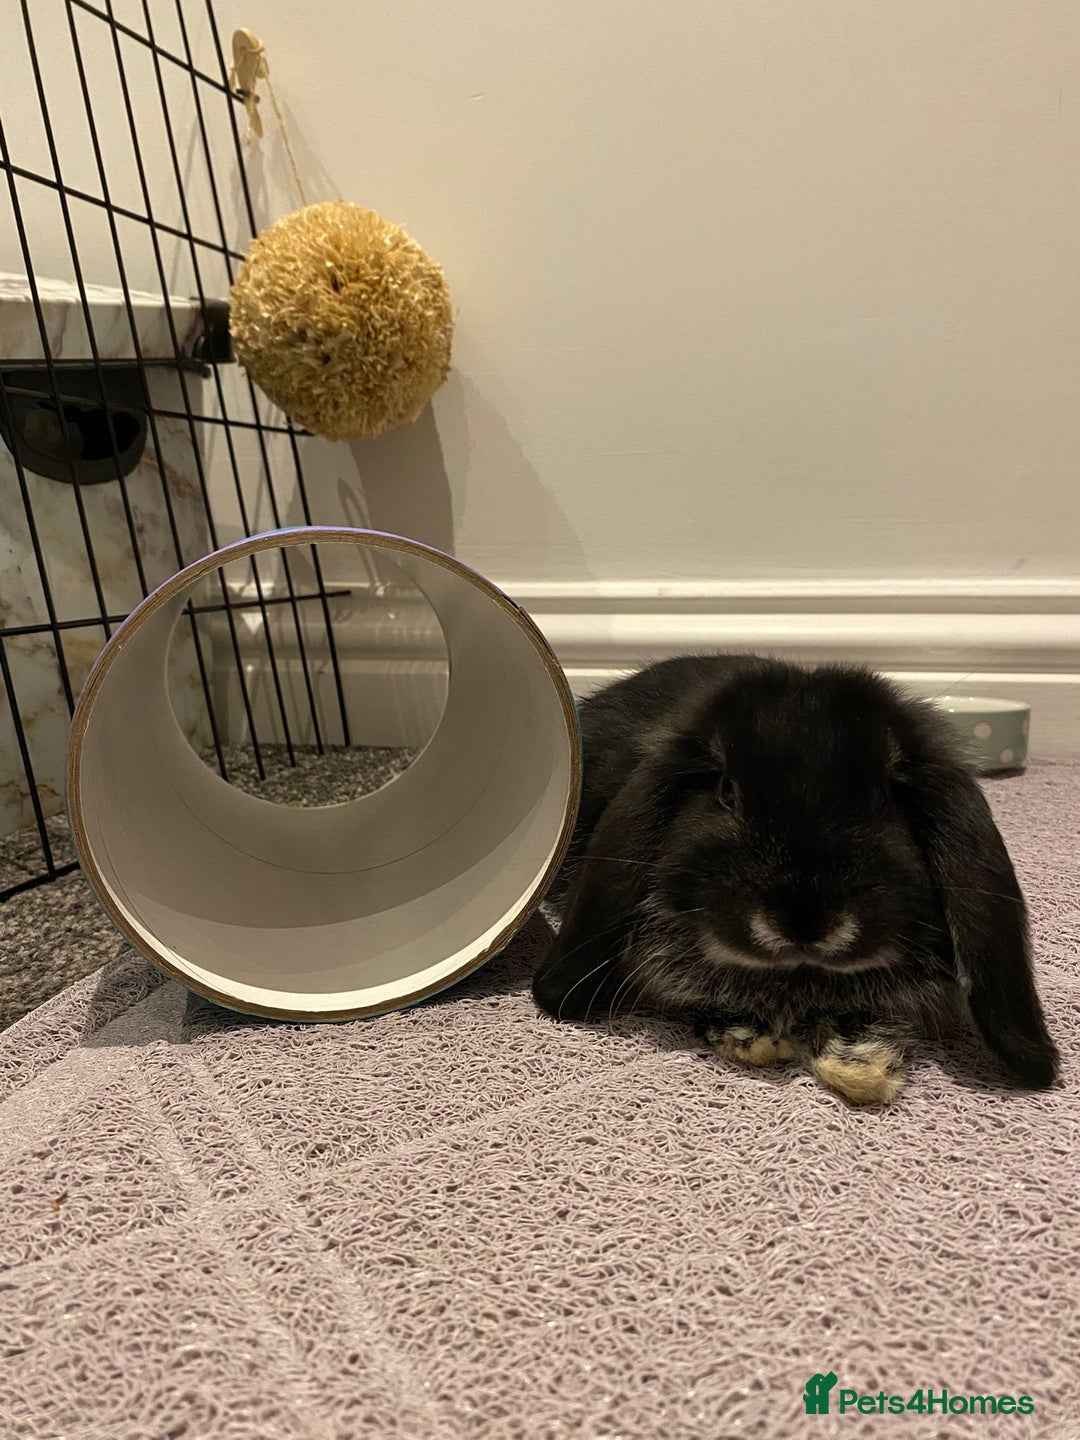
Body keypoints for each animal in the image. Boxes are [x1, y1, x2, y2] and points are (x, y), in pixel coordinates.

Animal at [533, 654, 1060, 1105]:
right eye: (726, 791)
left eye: (881, 798)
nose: (804, 922)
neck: (795, 980)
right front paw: (751, 1036)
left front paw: (864, 1061)